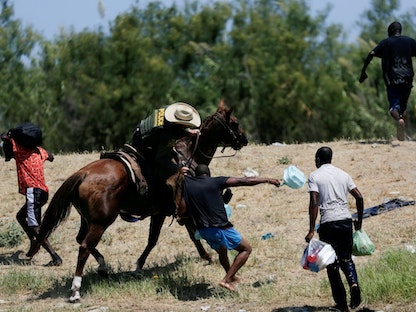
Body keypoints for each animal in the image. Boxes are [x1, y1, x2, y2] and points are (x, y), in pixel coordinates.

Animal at [28, 99, 247, 300]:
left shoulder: (166, 212)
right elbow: (159, 239)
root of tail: (82, 173)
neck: (187, 157)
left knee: (81, 240)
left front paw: (205, 256)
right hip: (101, 222)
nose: (244, 139)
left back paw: (103, 267)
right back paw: (76, 290)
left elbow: (186, 236)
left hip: (87, 219)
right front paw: (140, 265)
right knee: (84, 247)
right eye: (235, 122)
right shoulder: (168, 211)